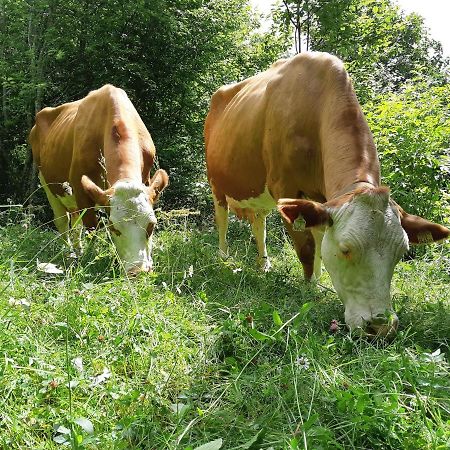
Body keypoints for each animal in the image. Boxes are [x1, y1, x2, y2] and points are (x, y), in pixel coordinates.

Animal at [29, 84, 168, 274]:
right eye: (113, 227)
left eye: (152, 225)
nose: (137, 270)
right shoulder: (80, 187)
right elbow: (91, 228)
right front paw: (90, 259)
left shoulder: (146, 179)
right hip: (47, 183)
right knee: (62, 222)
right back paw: (69, 254)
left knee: (75, 223)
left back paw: (77, 251)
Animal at [205, 52, 450, 336]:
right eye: (346, 249)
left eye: (401, 253)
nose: (380, 327)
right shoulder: (285, 189)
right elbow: (307, 247)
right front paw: (309, 287)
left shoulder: (322, 199)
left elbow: (320, 238)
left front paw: (320, 281)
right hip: (216, 183)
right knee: (222, 220)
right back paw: (223, 258)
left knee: (259, 225)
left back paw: (263, 264)